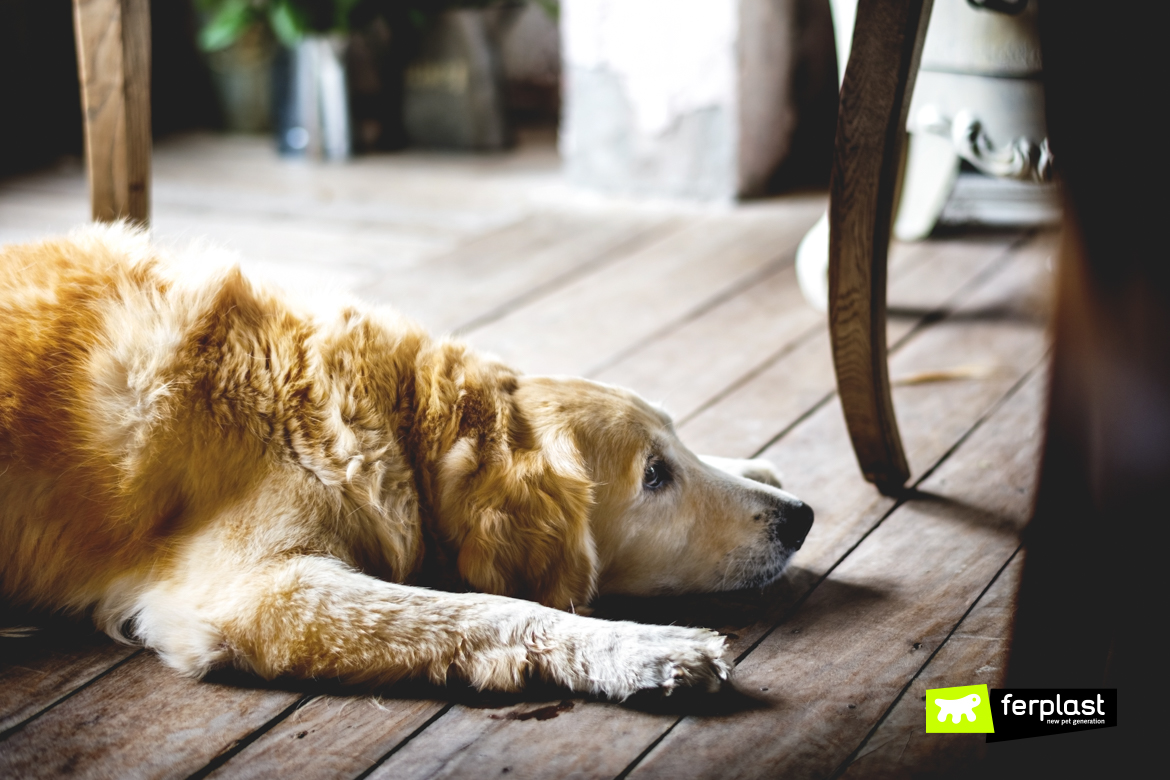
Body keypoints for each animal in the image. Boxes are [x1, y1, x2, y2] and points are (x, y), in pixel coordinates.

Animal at [2, 222, 814, 696]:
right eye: (653, 477)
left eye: (675, 445)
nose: (802, 518)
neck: (397, 421)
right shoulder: (252, 594)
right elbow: (488, 608)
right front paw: (637, 648)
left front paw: (754, 462)